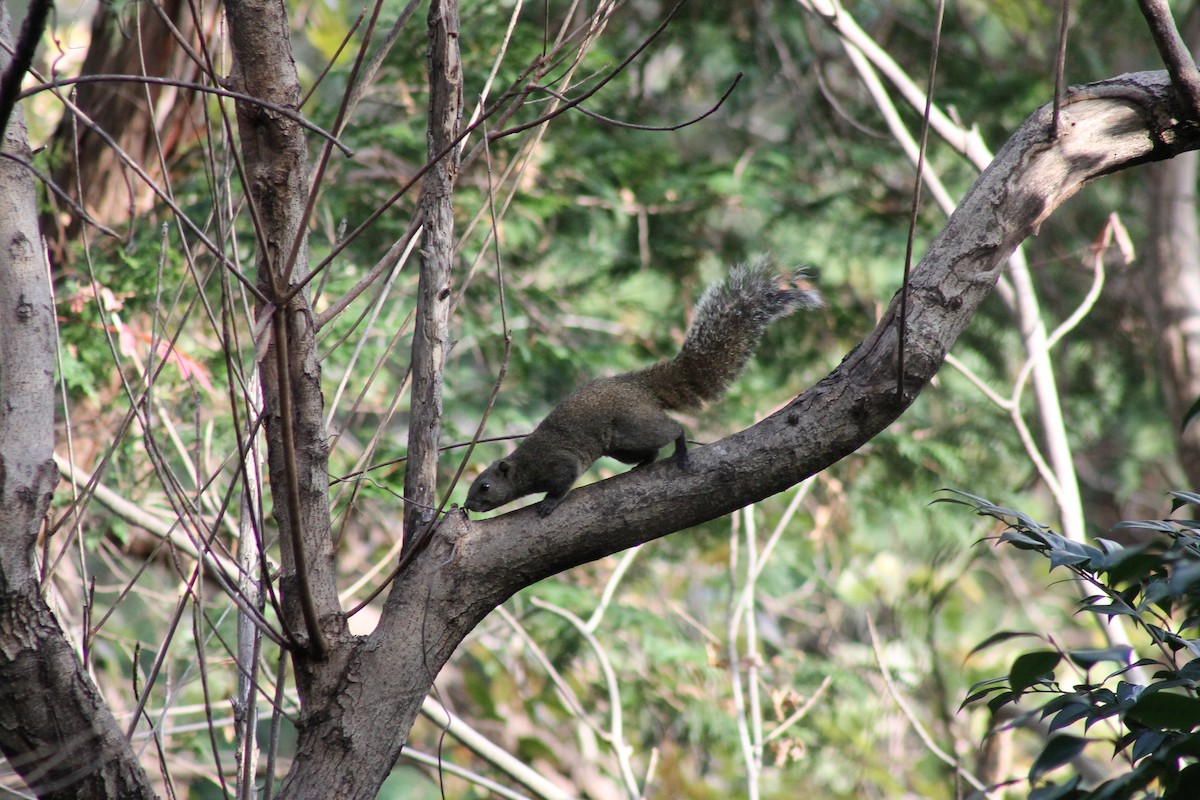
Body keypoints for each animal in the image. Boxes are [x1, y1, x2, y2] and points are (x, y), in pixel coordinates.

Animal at [464, 259, 822, 517]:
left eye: (484, 487)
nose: (466, 506)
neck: (525, 465)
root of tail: (641, 386)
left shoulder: (557, 464)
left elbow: (564, 482)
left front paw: (550, 503)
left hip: (633, 428)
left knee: (673, 429)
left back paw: (681, 451)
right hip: (622, 447)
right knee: (649, 452)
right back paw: (643, 464)